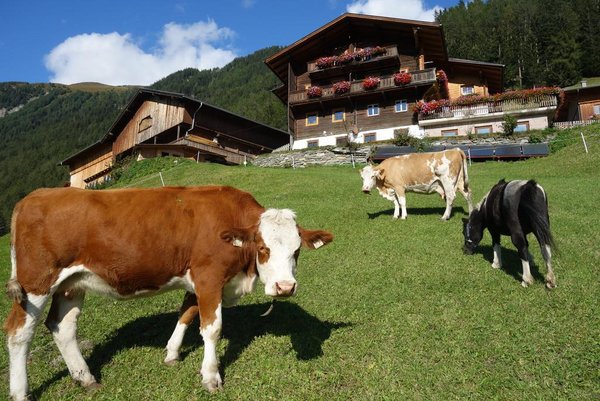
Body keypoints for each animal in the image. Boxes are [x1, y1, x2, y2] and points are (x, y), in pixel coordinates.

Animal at [3, 186, 332, 398]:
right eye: (263, 248)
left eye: (297, 250)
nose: (285, 287)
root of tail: (34, 196)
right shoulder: (209, 276)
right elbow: (212, 328)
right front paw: (210, 376)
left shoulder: (197, 279)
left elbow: (187, 313)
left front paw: (172, 353)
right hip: (36, 282)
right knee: (18, 333)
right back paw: (20, 391)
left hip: (71, 283)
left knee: (63, 327)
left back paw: (85, 378)